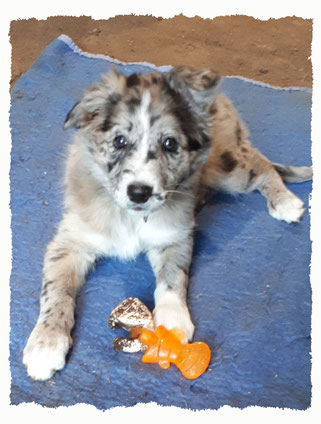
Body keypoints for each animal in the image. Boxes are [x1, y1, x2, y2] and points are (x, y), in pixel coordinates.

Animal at [21, 67, 310, 380]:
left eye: (169, 144)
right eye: (119, 141)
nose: (139, 192)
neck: (131, 216)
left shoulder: (174, 236)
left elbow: (173, 279)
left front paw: (172, 321)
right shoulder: (70, 242)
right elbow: (55, 291)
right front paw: (46, 343)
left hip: (226, 168)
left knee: (262, 167)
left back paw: (285, 201)